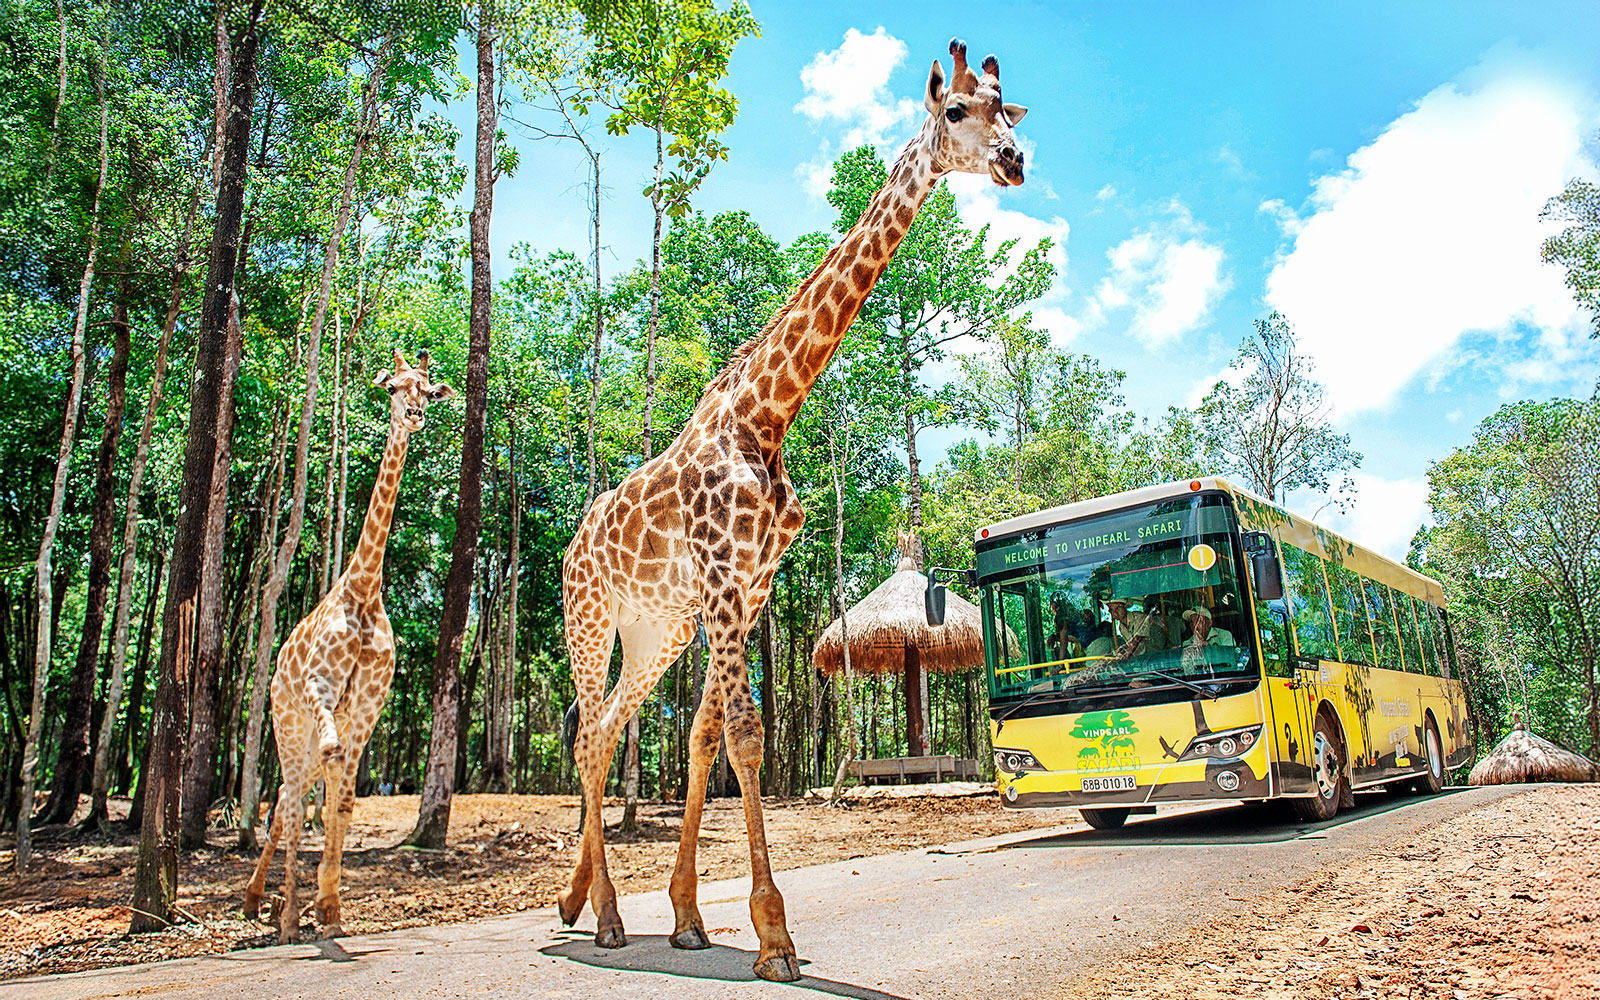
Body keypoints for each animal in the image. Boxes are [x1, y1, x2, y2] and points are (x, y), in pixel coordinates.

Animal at [243, 349, 453, 944]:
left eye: (428, 389)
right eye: (393, 387)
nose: (415, 415)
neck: (363, 588)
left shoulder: (367, 705)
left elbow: (344, 802)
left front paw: (332, 908)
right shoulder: (323, 686)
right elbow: (323, 787)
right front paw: (303, 912)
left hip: (310, 733)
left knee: (292, 796)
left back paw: (263, 901)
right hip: (287, 723)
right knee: (290, 800)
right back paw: (276, 911)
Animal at [558, 39, 1028, 983]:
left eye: (1009, 106)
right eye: (956, 110)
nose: (1014, 161)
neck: (767, 415)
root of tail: (567, 550)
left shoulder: (747, 587)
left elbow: (705, 736)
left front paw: (691, 917)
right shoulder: (721, 577)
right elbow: (746, 733)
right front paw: (774, 937)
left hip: (656, 631)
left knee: (609, 731)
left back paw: (581, 905)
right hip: (590, 620)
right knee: (588, 733)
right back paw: (607, 919)